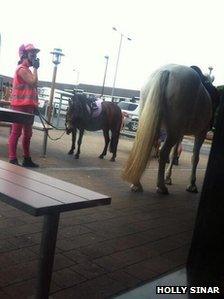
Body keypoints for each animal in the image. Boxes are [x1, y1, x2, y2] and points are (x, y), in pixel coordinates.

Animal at [123, 63, 213, 195]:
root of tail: (167, 71)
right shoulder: (201, 133)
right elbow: (195, 157)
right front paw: (192, 185)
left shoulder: (180, 132)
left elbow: (174, 153)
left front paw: (168, 178)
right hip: (173, 132)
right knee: (163, 151)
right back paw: (161, 187)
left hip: (154, 123)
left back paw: (137, 184)